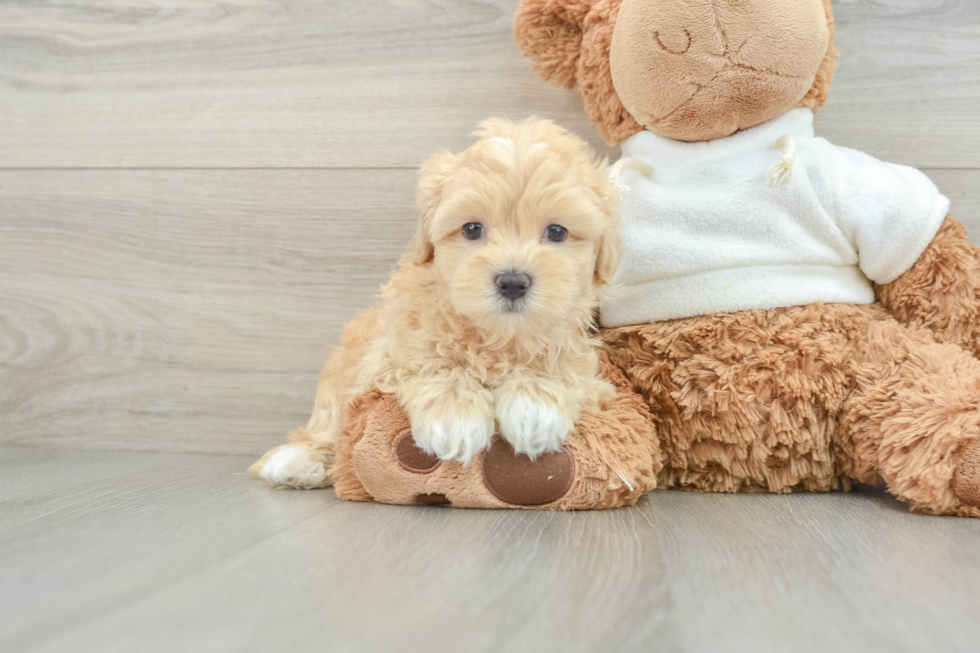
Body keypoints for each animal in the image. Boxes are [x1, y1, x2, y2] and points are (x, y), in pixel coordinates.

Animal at [251, 117, 620, 486]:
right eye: (472, 229)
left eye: (556, 232)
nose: (513, 282)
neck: (497, 336)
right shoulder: (385, 355)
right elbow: (428, 358)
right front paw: (455, 415)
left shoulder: (582, 361)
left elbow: (557, 368)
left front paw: (535, 406)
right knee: (327, 428)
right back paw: (297, 460)